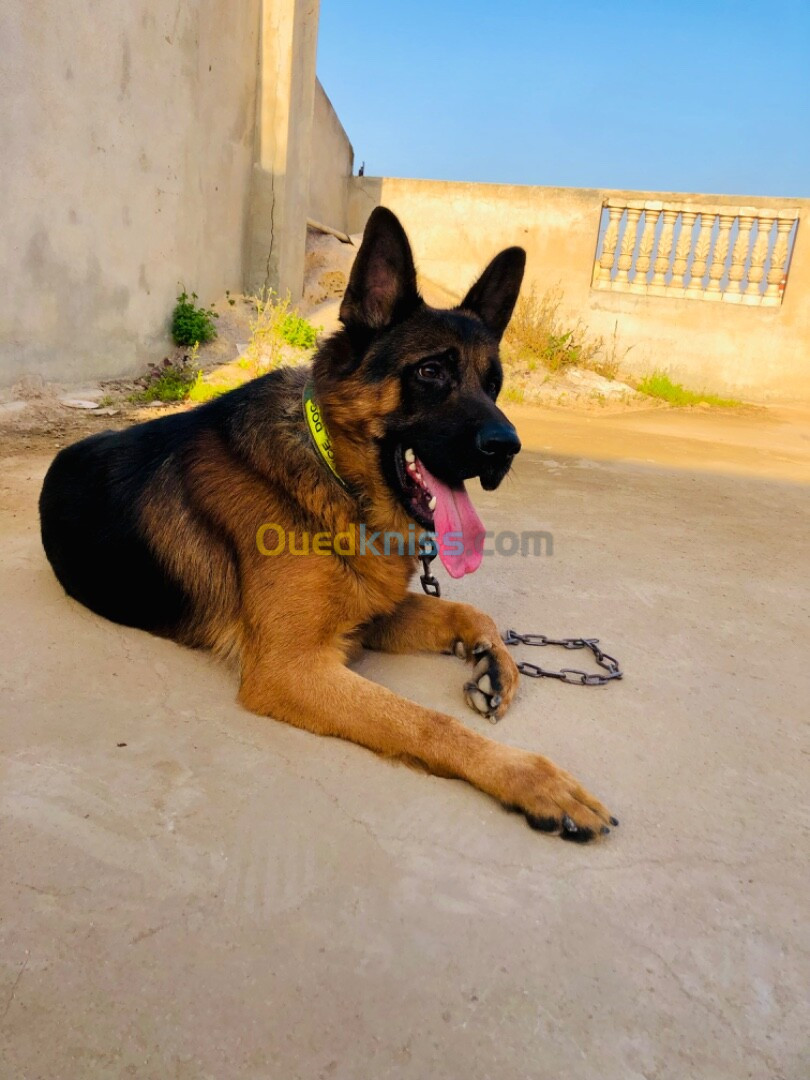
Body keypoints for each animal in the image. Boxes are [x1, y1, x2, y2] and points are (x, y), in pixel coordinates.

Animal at [39, 206, 613, 838]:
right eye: (430, 372)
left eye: (494, 386)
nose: (507, 447)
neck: (333, 472)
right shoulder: (294, 669)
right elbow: (426, 721)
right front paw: (532, 778)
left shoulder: (368, 614)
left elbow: (468, 610)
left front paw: (494, 659)